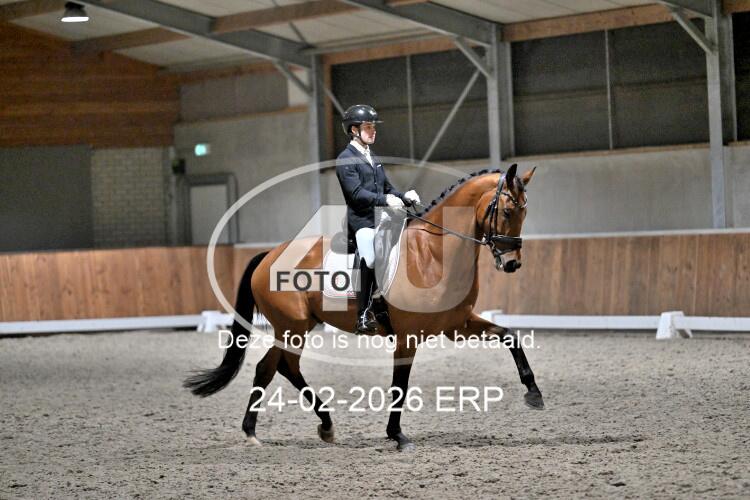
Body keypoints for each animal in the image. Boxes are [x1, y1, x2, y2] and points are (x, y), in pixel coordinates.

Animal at [184, 163, 544, 451]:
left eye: (526, 213)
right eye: (508, 212)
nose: (512, 264)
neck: (433, 254)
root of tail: (268, 255)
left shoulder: (457, 325)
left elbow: (510, 335)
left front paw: (534, 392)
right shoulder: (408, 337)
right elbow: (400, 386)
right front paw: (397, 435)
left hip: (293, 327)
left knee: (271, 368)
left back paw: (288, 429)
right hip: (291, 327)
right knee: (282, 367)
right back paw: (296, 427)